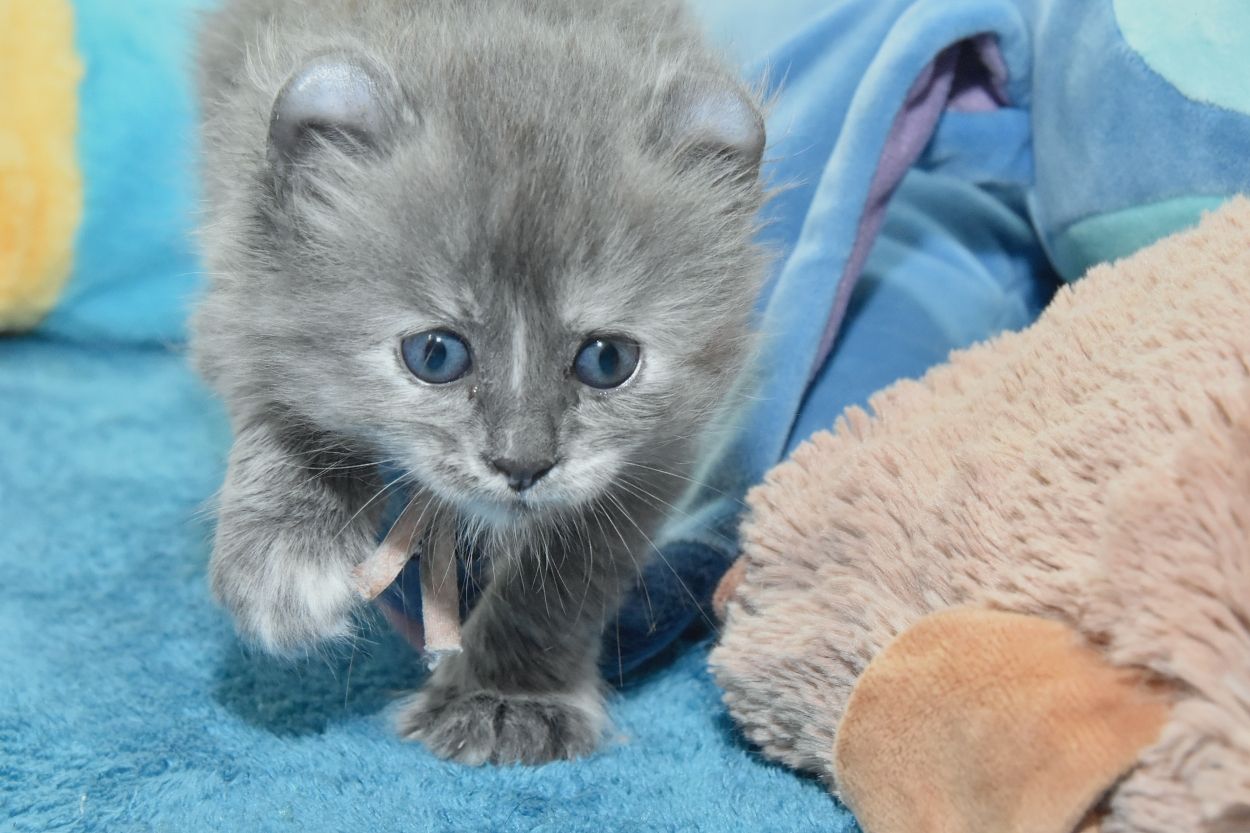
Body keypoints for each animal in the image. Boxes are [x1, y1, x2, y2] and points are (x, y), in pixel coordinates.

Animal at [192, 0, 768, 764]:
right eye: (436, 354)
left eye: (607, 360)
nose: (521, 464)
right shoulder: (240, 291)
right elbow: (284, 404)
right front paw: (287, 551)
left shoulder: (661, 451)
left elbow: (558, 578)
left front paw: (506, 700)